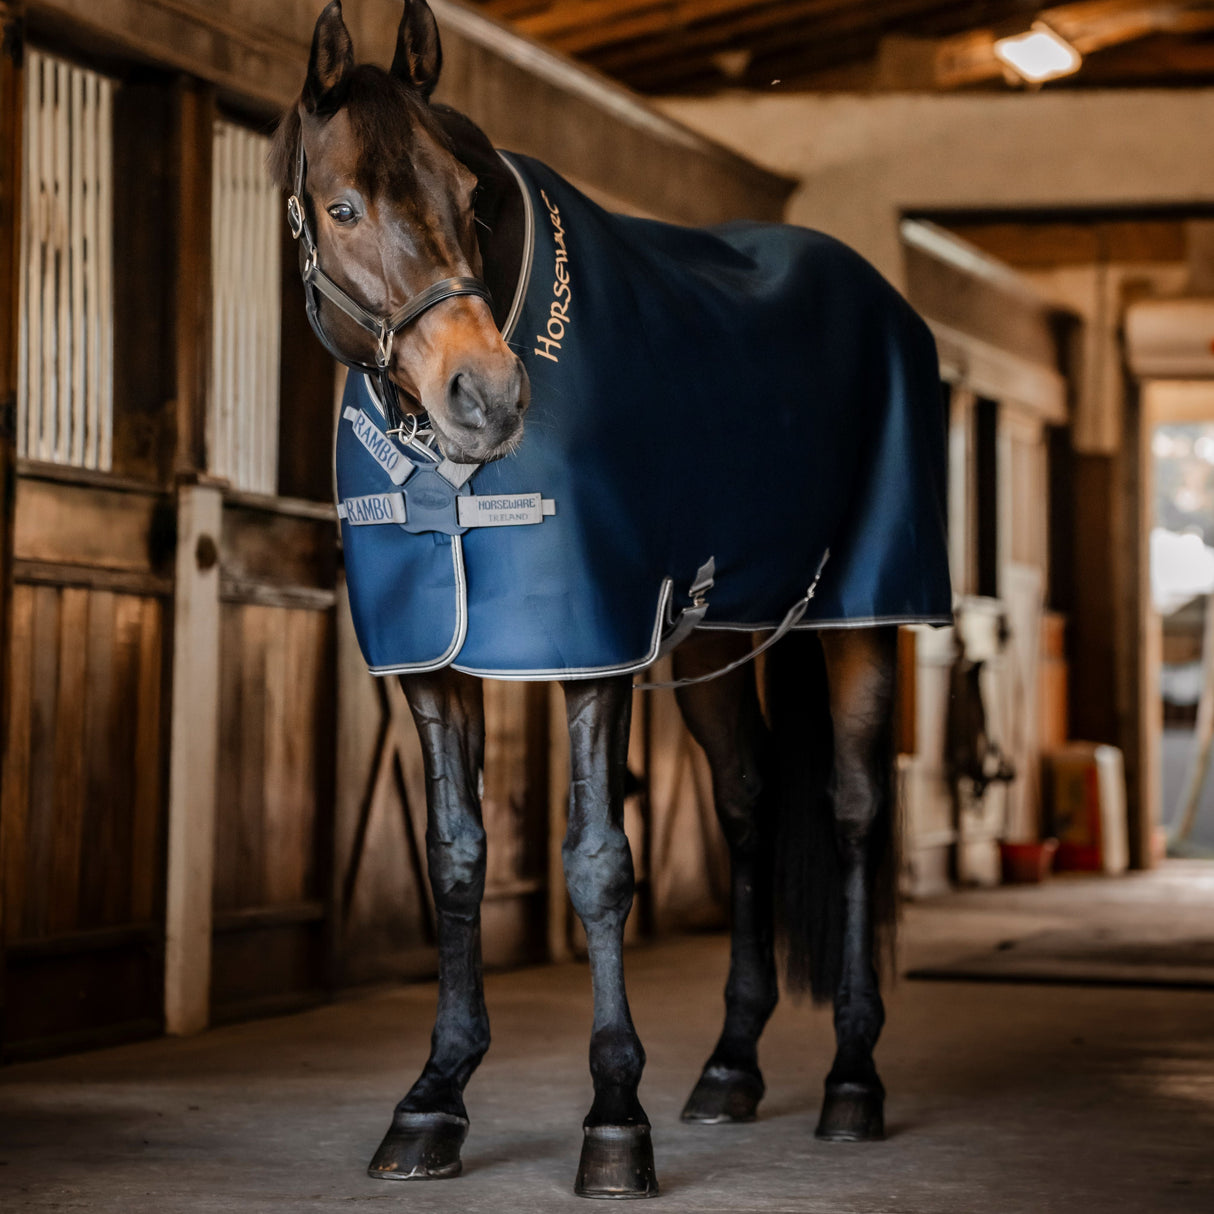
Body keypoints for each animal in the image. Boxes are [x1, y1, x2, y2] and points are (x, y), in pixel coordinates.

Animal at [270, 0, 951, 1194]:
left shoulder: (591, 650)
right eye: (343, 205)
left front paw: (614, 1116)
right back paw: (730, 1067)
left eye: (466, 196)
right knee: (745, 802)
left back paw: (850, 1081)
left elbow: (597, 864)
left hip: (861, 622)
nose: (487, 396)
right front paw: (433, 1097)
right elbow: (455, 860)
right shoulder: (434, 668)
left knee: (856, 810)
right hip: (714, 641)